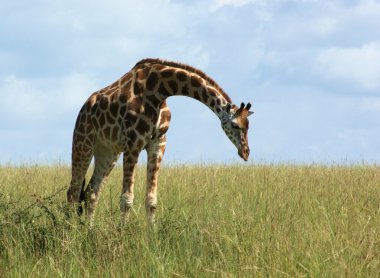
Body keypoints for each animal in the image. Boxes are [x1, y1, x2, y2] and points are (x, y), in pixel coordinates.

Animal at [67, 57, 254, 225]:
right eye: (235, 125)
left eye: (248, 125)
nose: (246, 152)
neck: (160, 90)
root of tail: (83, 109)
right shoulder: (133, 142)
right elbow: (126, 199)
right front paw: (122, 235)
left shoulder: (158, 143)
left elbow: (151, 200)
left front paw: (152, 235)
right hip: (82, 142)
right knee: (74, 191)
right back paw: (71, 232)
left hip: (108, 151)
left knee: (91, 192)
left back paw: (89, 231)